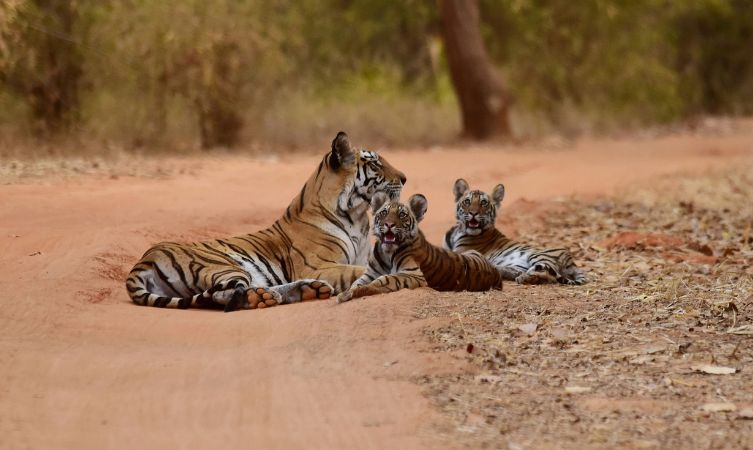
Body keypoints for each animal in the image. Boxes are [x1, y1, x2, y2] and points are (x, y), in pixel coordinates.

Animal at [125, 132, 407, 312]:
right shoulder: (318, 265)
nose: (404, 178)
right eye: (375, 164)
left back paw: (309, 291)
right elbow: (358, 271)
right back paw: (267, 297)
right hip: (223, 265)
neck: (357, 215)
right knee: (224, 295)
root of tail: (143, 260)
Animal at [337, 192, 503, 303]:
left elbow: (386, 279)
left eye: (402, 215)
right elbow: (356, 282)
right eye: (384, 212)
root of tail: (496, 274)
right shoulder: (370, 273)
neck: (387, 252)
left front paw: (354, 293)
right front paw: (348, 292)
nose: (389, 224)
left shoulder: (414, 274)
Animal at [443, 178, 587, 285]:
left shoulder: (461, 252)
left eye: (483, 203)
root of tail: (572, 261)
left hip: (538, 255)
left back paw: (523, 277)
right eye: (467, 201)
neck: (458, 231)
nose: (473, 213)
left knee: (547, 274)